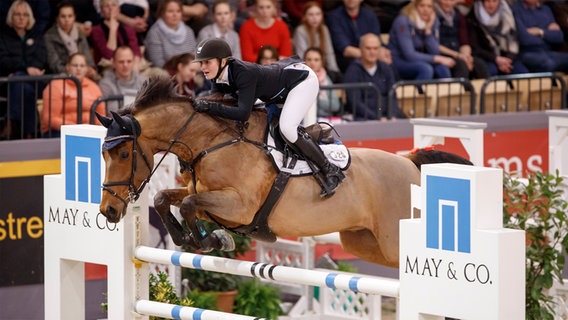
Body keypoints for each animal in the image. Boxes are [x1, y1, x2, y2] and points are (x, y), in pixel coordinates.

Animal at [96, 75, 470, 268]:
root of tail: (409, 163)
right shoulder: (199, 192)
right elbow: (165, 198)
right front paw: (194, 237)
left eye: (124, 152)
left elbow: (188, 205)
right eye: (104, 154)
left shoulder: (239, 205)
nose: (109, 211)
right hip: (362, 241)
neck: (212, 141)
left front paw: (210, 239)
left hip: (391, 240)